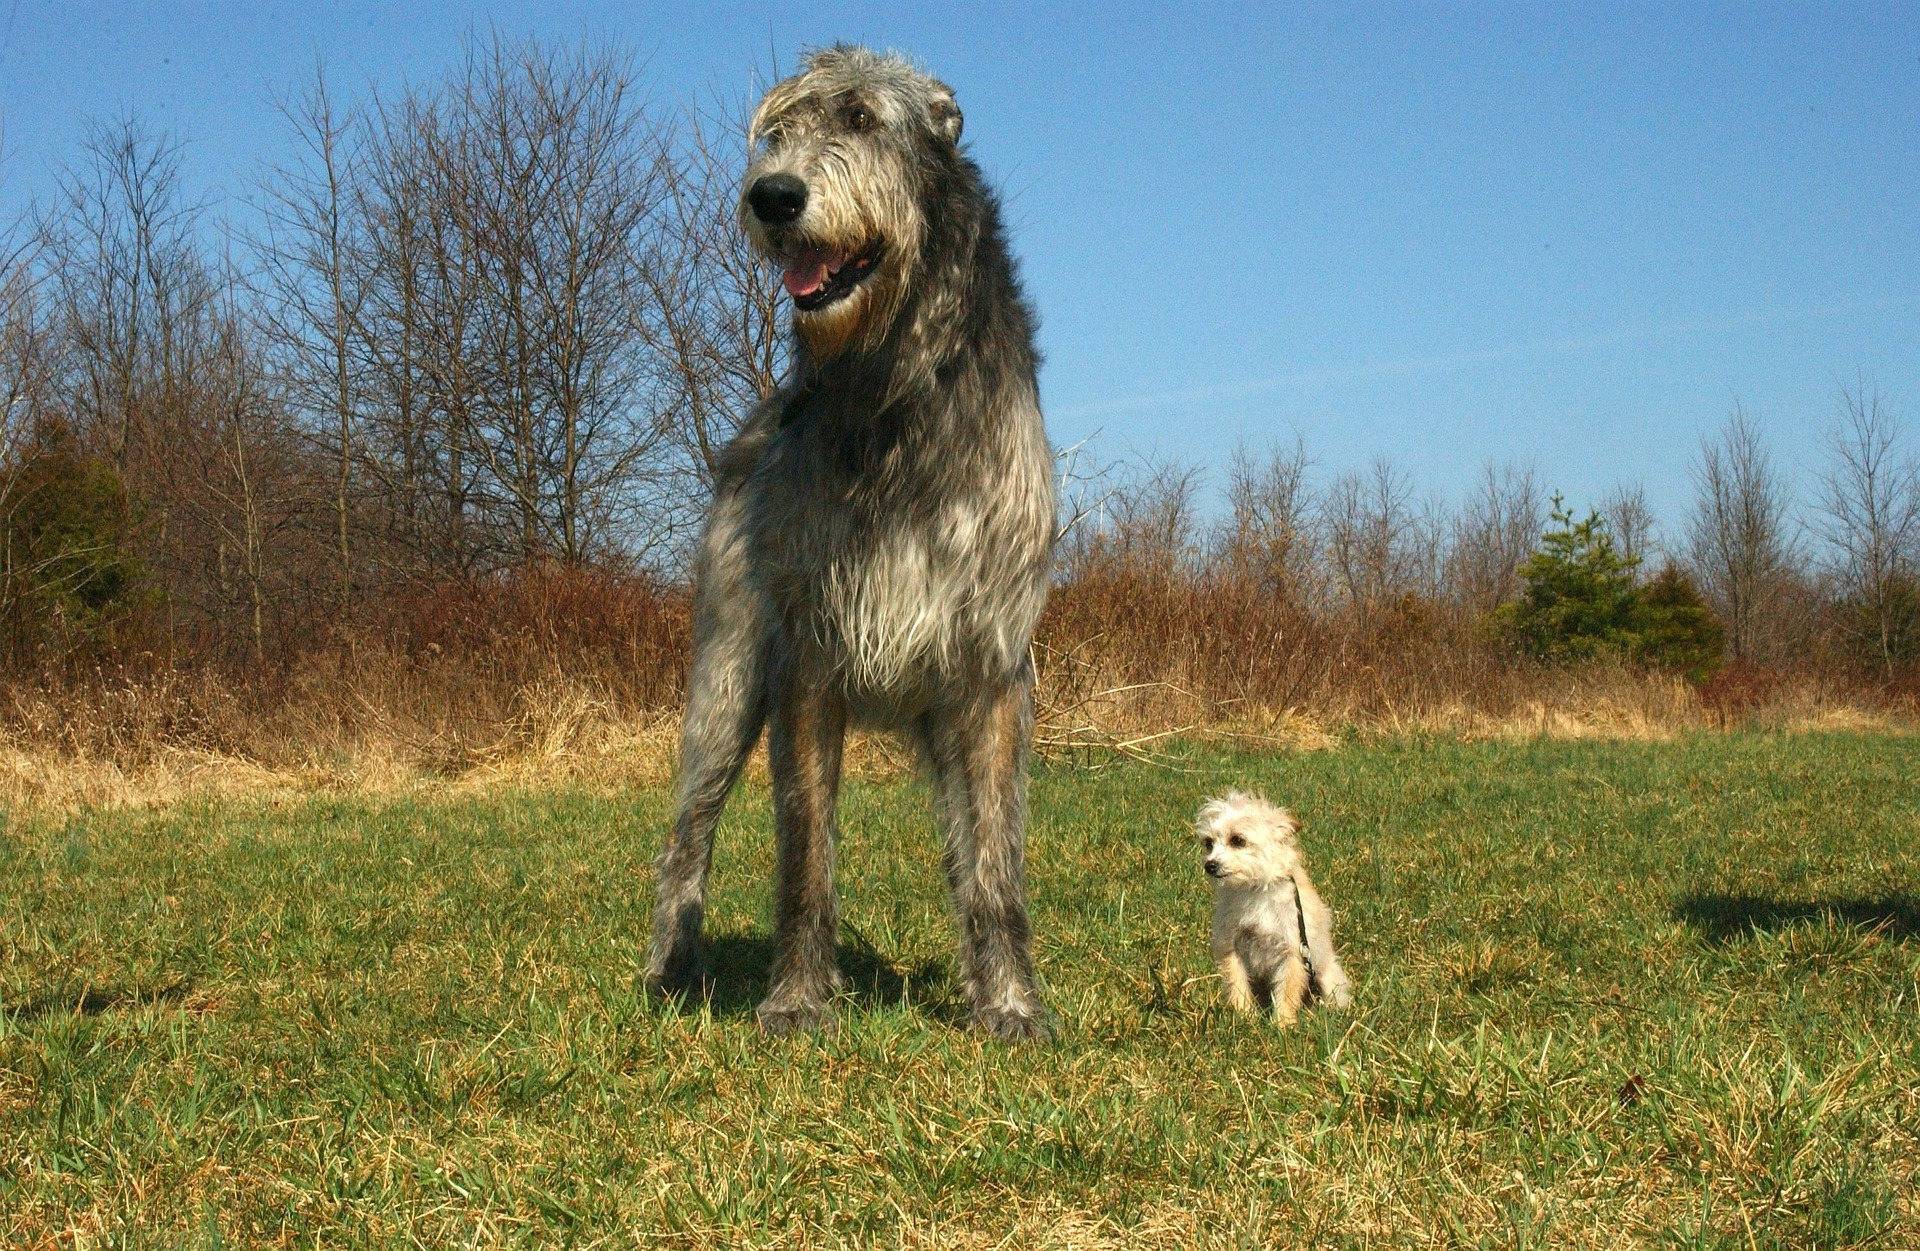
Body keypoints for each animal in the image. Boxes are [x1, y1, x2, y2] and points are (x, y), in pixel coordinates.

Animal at [652, 48, 1059, 1043]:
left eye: (866, 120)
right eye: (777, 132)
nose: (773, 196)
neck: (893, 388)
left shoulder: (992, 668)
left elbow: (995, 863)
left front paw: (1010, 1002)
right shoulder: (807, 660)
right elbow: (805, 852)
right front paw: (798, 999)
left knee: (965, 847)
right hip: (725, 678)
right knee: (688, 832)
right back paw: (672, 967)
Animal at [1198, 790, 1351, 1028]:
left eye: (1238, 840)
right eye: (1208, 843)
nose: (1210, 865)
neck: (1255, 890)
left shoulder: (1293, 951)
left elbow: (1287, 990)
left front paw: (1282, 1025)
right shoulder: (1230, 947)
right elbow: (1237, 985)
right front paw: (1244, 1018)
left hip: (1327, 977)